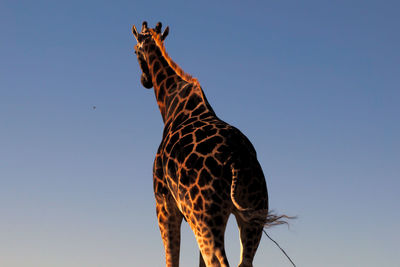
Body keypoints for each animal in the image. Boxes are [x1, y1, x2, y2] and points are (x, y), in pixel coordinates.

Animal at [133, 22, 290, 266]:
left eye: (134, 51)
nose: (144, 80)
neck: (171, 105)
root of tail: (236, 161)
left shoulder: (164, 203)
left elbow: (172, 259)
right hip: (253, 215)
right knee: (244, 260)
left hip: (205, 218)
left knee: (218, 260)